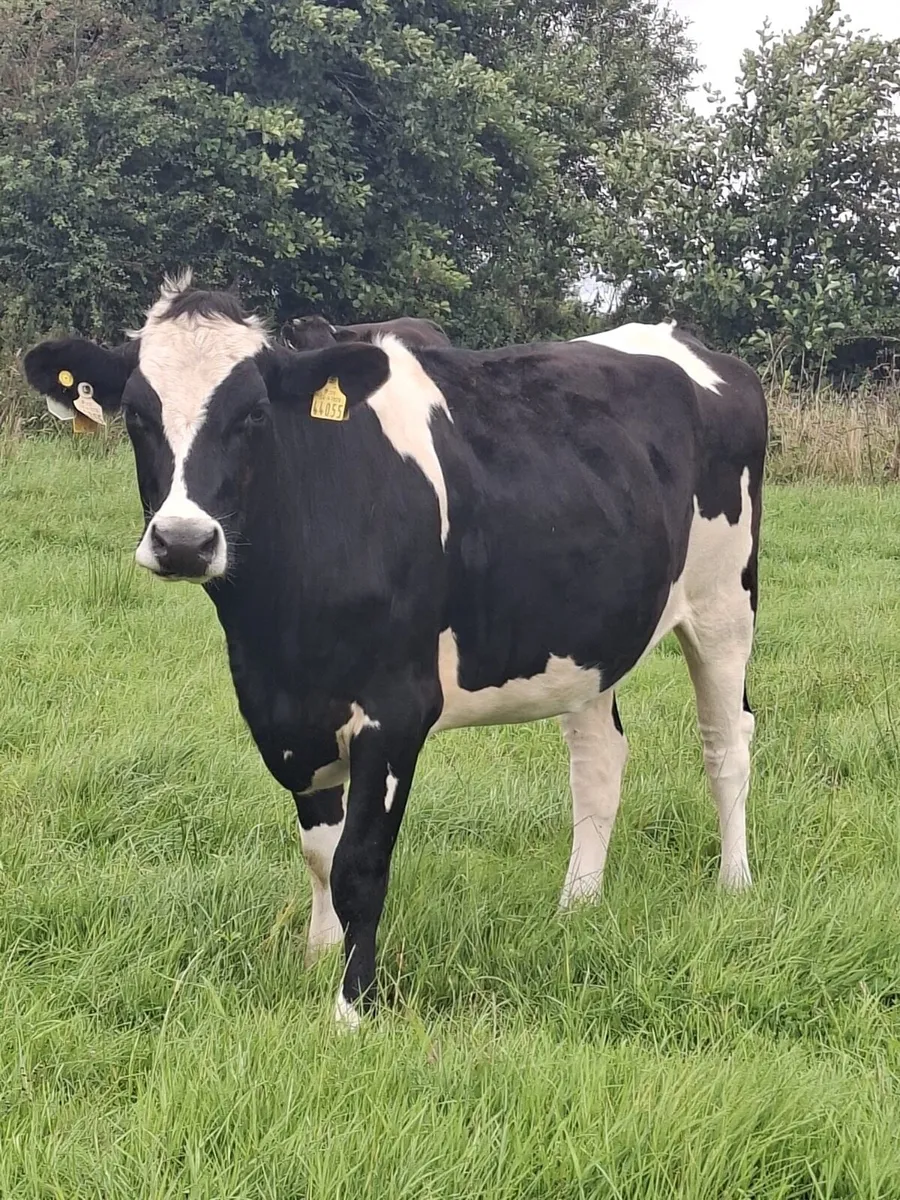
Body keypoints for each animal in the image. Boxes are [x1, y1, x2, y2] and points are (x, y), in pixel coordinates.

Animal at [23, 274, 767, 1030]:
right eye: (137, 415)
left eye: (254, 414)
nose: (183, 542)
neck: (276, 629)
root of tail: (687, 342)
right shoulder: (287, 710)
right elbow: (319, 854)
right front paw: (317, 957)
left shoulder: (394, 711)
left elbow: (360, 864)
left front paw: (351, 1008)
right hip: (588, 637)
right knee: (598, 760)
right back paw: (577, 907)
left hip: (724, 603)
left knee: (726, 741)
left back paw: (734, 885)